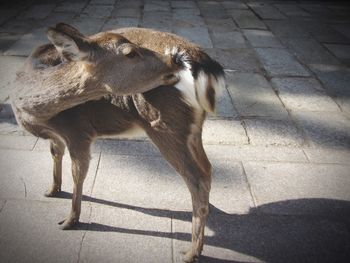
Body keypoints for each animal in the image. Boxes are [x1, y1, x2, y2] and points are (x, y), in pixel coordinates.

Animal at [10, 23, 226, 262]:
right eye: (130, 52)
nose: (174, 60)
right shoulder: (58, 135)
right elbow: (55, 153)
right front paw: (52, 190)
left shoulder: (78, 130)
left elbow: (78, 174)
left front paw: (69, 221)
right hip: (192, 129)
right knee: (207, 168)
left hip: (166, 126)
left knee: (196, 178)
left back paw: (191, 252)